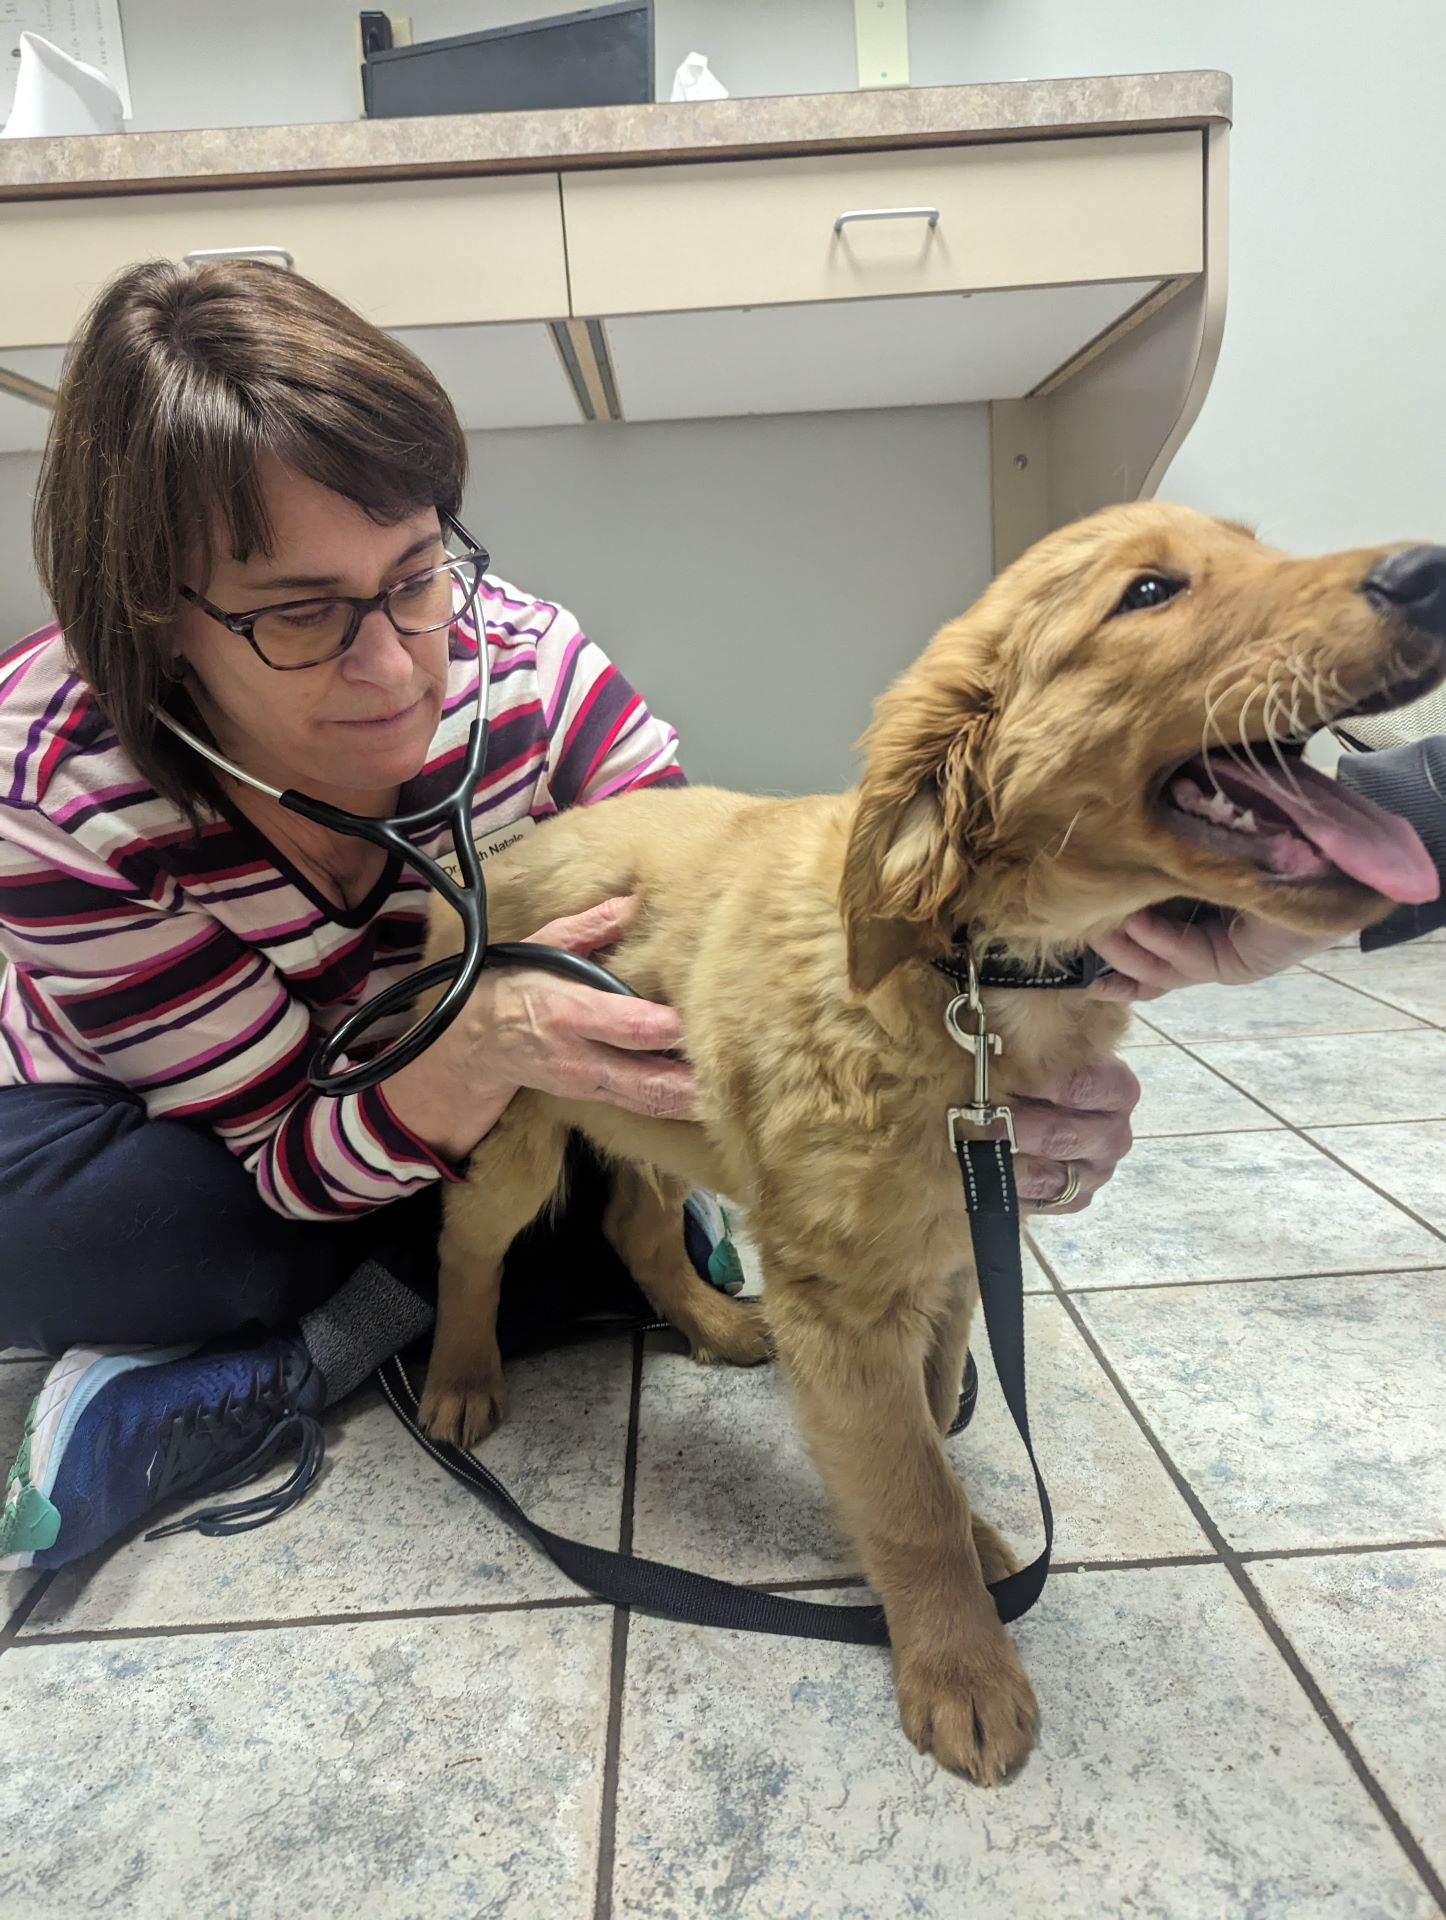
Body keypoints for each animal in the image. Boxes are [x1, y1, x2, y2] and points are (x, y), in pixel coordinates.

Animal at [416, 506, 1444, 1781]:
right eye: (1150, 592)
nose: (1430, 573)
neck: (979, 983)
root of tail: (486, 869)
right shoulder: (840, 1298)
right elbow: (909, 1495)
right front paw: (963, 1668)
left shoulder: (963, 1236)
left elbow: (943, 1398)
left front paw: (978, 1543)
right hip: (518, 1119)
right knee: (471, 1243)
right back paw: (460, 1380)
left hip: (646, 1104)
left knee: (634, 1216)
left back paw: (710, 1321)